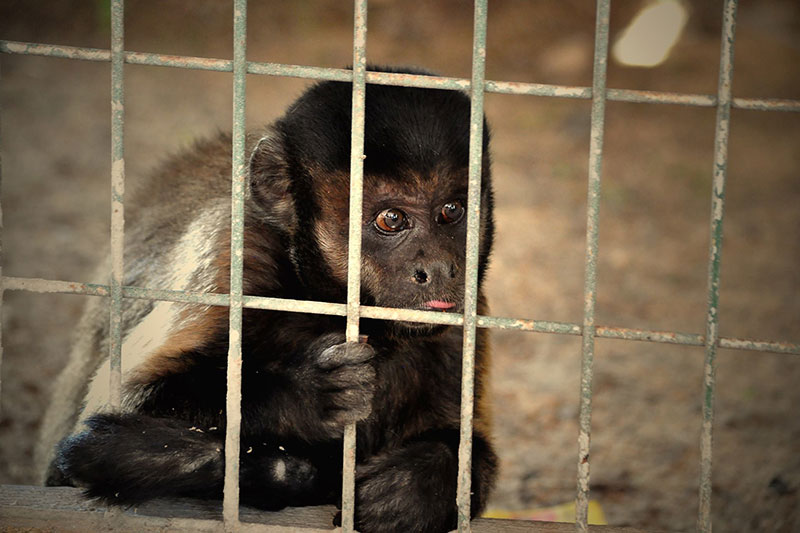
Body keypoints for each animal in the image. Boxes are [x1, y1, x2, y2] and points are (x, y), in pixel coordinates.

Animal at [35, 66, 497, 533]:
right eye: (392, 219)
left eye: (452, 212)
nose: (438, 268)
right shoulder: (233, 252)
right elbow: (123, 404)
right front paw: (301, 394)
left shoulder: (464, 317)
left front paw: (415, 487)